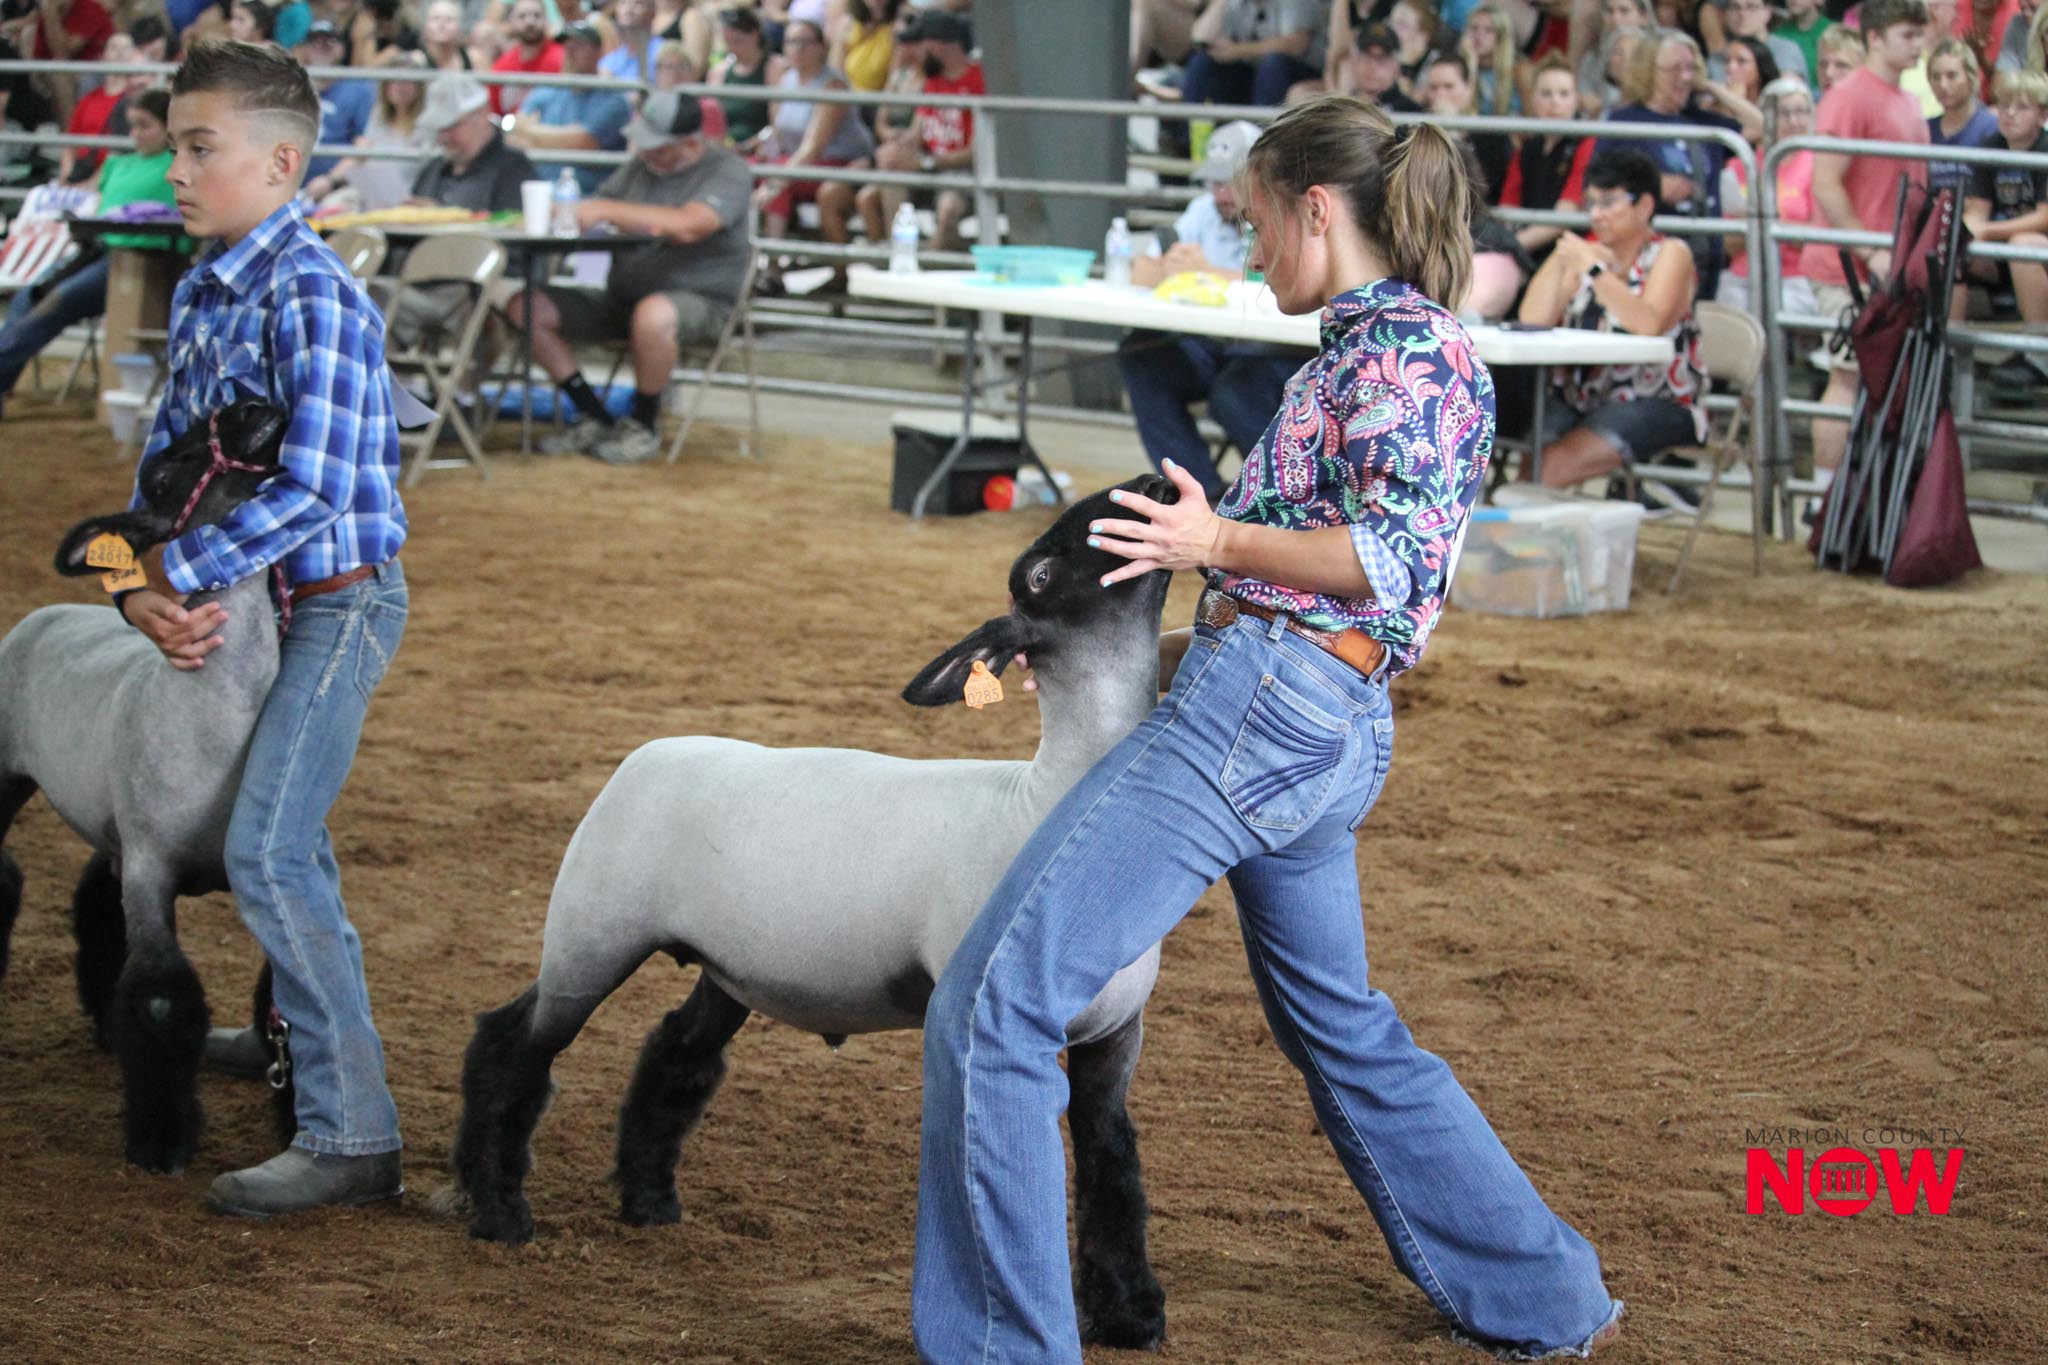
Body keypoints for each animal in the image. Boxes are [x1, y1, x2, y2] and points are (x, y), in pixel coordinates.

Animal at [0, 400, 287, 1174]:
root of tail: (51, 611)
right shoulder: (154, 863)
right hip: (11, 777)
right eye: (162, 472)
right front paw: (162, 1141)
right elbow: (161, 997)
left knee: (93, 900)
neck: (215, 717)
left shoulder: (248, 865)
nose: (252, 405)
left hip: (110, 824)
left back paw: (105, 1025)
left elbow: (283, 986)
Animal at [452, 474, 1180, 1350]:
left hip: (725, 967)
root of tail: (644, 752)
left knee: (674, 1051)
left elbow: (1114, 1164)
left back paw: (648, 1200)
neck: (1046, 799)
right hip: (592, 930)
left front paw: (1132, 1313)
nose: (1152, 485)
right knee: (515, 1042)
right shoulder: (987, 1016)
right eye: (1040, 573)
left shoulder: (1114, 1034)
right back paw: (496, 1208)